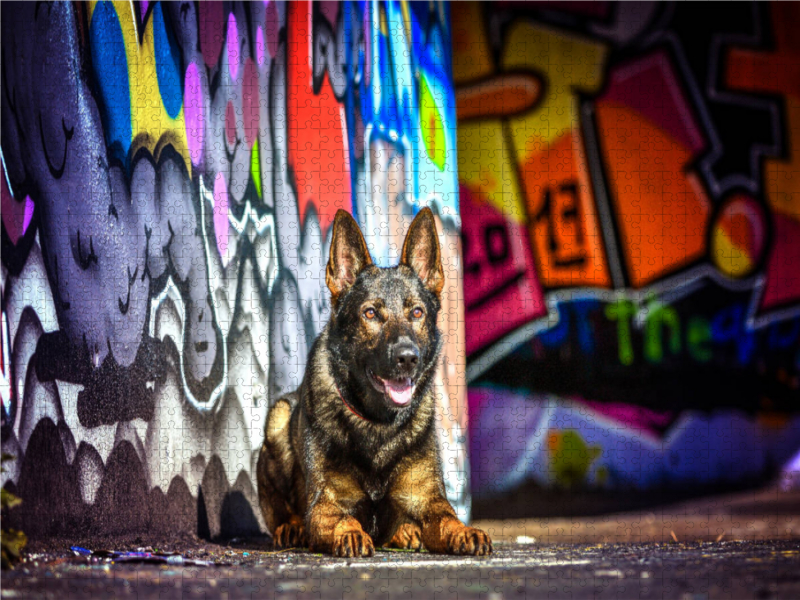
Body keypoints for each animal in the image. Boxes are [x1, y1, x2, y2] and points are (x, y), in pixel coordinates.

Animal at [258, 207, 494, 556]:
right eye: (370, 313)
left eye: (417, 313)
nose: (407, 357)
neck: (378, 424)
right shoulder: (326, 505)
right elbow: (345, 519)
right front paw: (350, 534)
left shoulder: (428, 500)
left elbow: (449, 519)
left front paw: (465, 531)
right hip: (278, 416)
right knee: (282, 511)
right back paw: (292, 527)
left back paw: (406, 533)